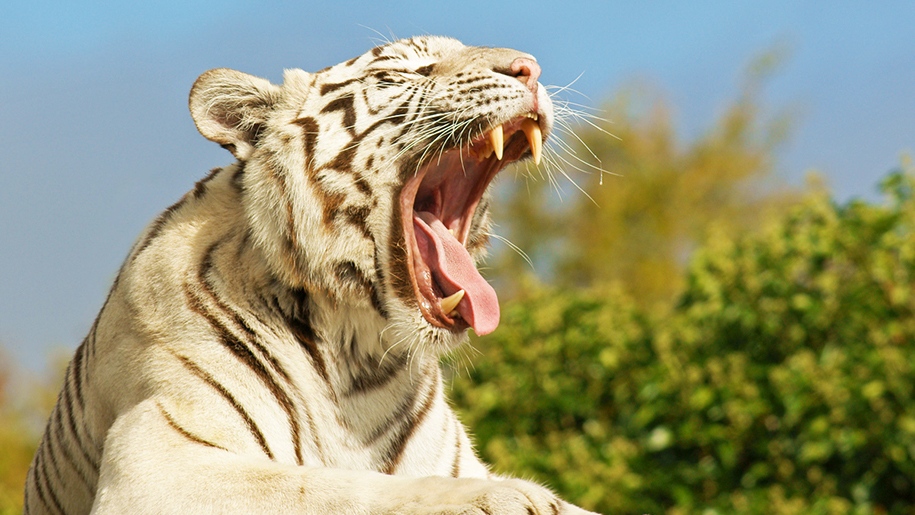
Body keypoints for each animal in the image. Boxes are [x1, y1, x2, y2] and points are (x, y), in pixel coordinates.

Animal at [25, 35, 596, 512]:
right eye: (397, 75)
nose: (529, 69)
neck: (357, 357)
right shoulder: (159, 462)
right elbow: (331, 485)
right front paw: (515, 496)